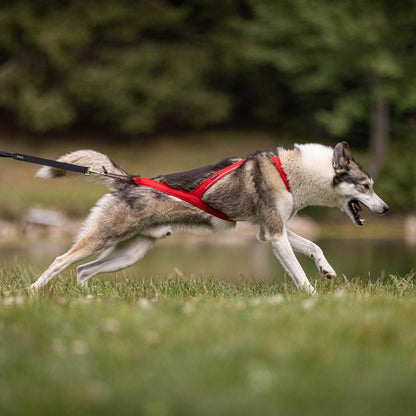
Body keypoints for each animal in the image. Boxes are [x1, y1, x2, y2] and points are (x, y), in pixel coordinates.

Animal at [30, 141, 390, 294]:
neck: (291, 173)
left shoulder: (269, 230)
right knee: (61, 261)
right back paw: (33, 293)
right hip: (102, 238)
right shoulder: (274, 234)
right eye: (366, 186)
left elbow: (315, 246)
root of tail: (128, 180)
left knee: (83, 271)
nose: (386, 209)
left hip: (129, 254)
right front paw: (313, 298)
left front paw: (326, 270)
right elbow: (299, 274)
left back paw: (86, 298)